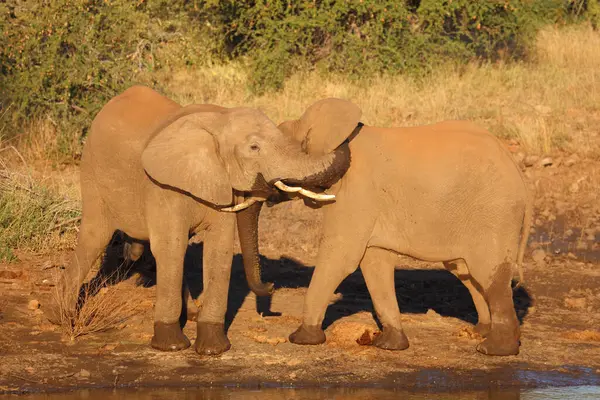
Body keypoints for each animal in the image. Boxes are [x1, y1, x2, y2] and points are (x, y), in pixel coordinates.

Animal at [48, 86, 352, 354]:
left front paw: (213, 348)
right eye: (254, 147)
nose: (271, 286)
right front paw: (172, 345)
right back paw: (59, 316)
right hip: (93, 172)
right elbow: (171, 246)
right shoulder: (163, 186)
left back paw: (191, 313)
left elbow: (218, 249)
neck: (220, 120)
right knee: (94, 236)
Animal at [276, 99, 528, 356]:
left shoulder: (357, 190)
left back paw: (494, 349)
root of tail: (517, 170)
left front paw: (300, 338)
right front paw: (391, 345)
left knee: (487, 272)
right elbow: (375, 262)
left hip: (494, 213)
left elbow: (341, 255)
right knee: (465, 271)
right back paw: (481, 332)